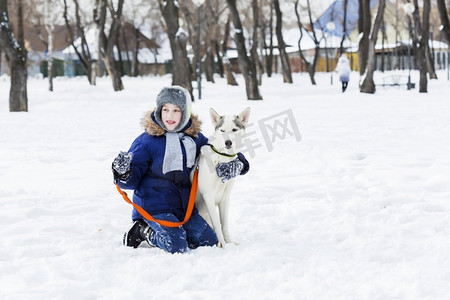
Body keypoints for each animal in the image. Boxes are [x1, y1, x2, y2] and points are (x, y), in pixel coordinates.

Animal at [193, 106, 250, 247]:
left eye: (234, 129)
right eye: (222, 130)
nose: (228, 142)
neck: (223, 160)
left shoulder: (225, 198)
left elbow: (224, 224)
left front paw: (228, 242)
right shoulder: (208, 196)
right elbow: (217, 225)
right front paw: (222, 245)